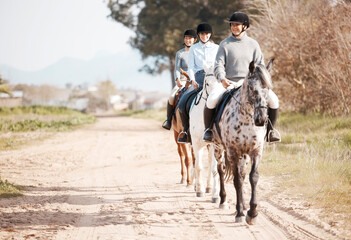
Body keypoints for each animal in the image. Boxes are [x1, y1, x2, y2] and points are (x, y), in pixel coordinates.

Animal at [213, 59, 276, 224]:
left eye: (268, 88)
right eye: (252, 87)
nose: (261, 119)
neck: (246, 120)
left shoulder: (256, 151)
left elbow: (253, 177)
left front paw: (252, 212)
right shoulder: (233, 151)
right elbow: (237, 181)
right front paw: (241, 213)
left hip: (244, 155)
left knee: (241, 174)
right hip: (218, 147)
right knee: (221, 171)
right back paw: (224, 201)